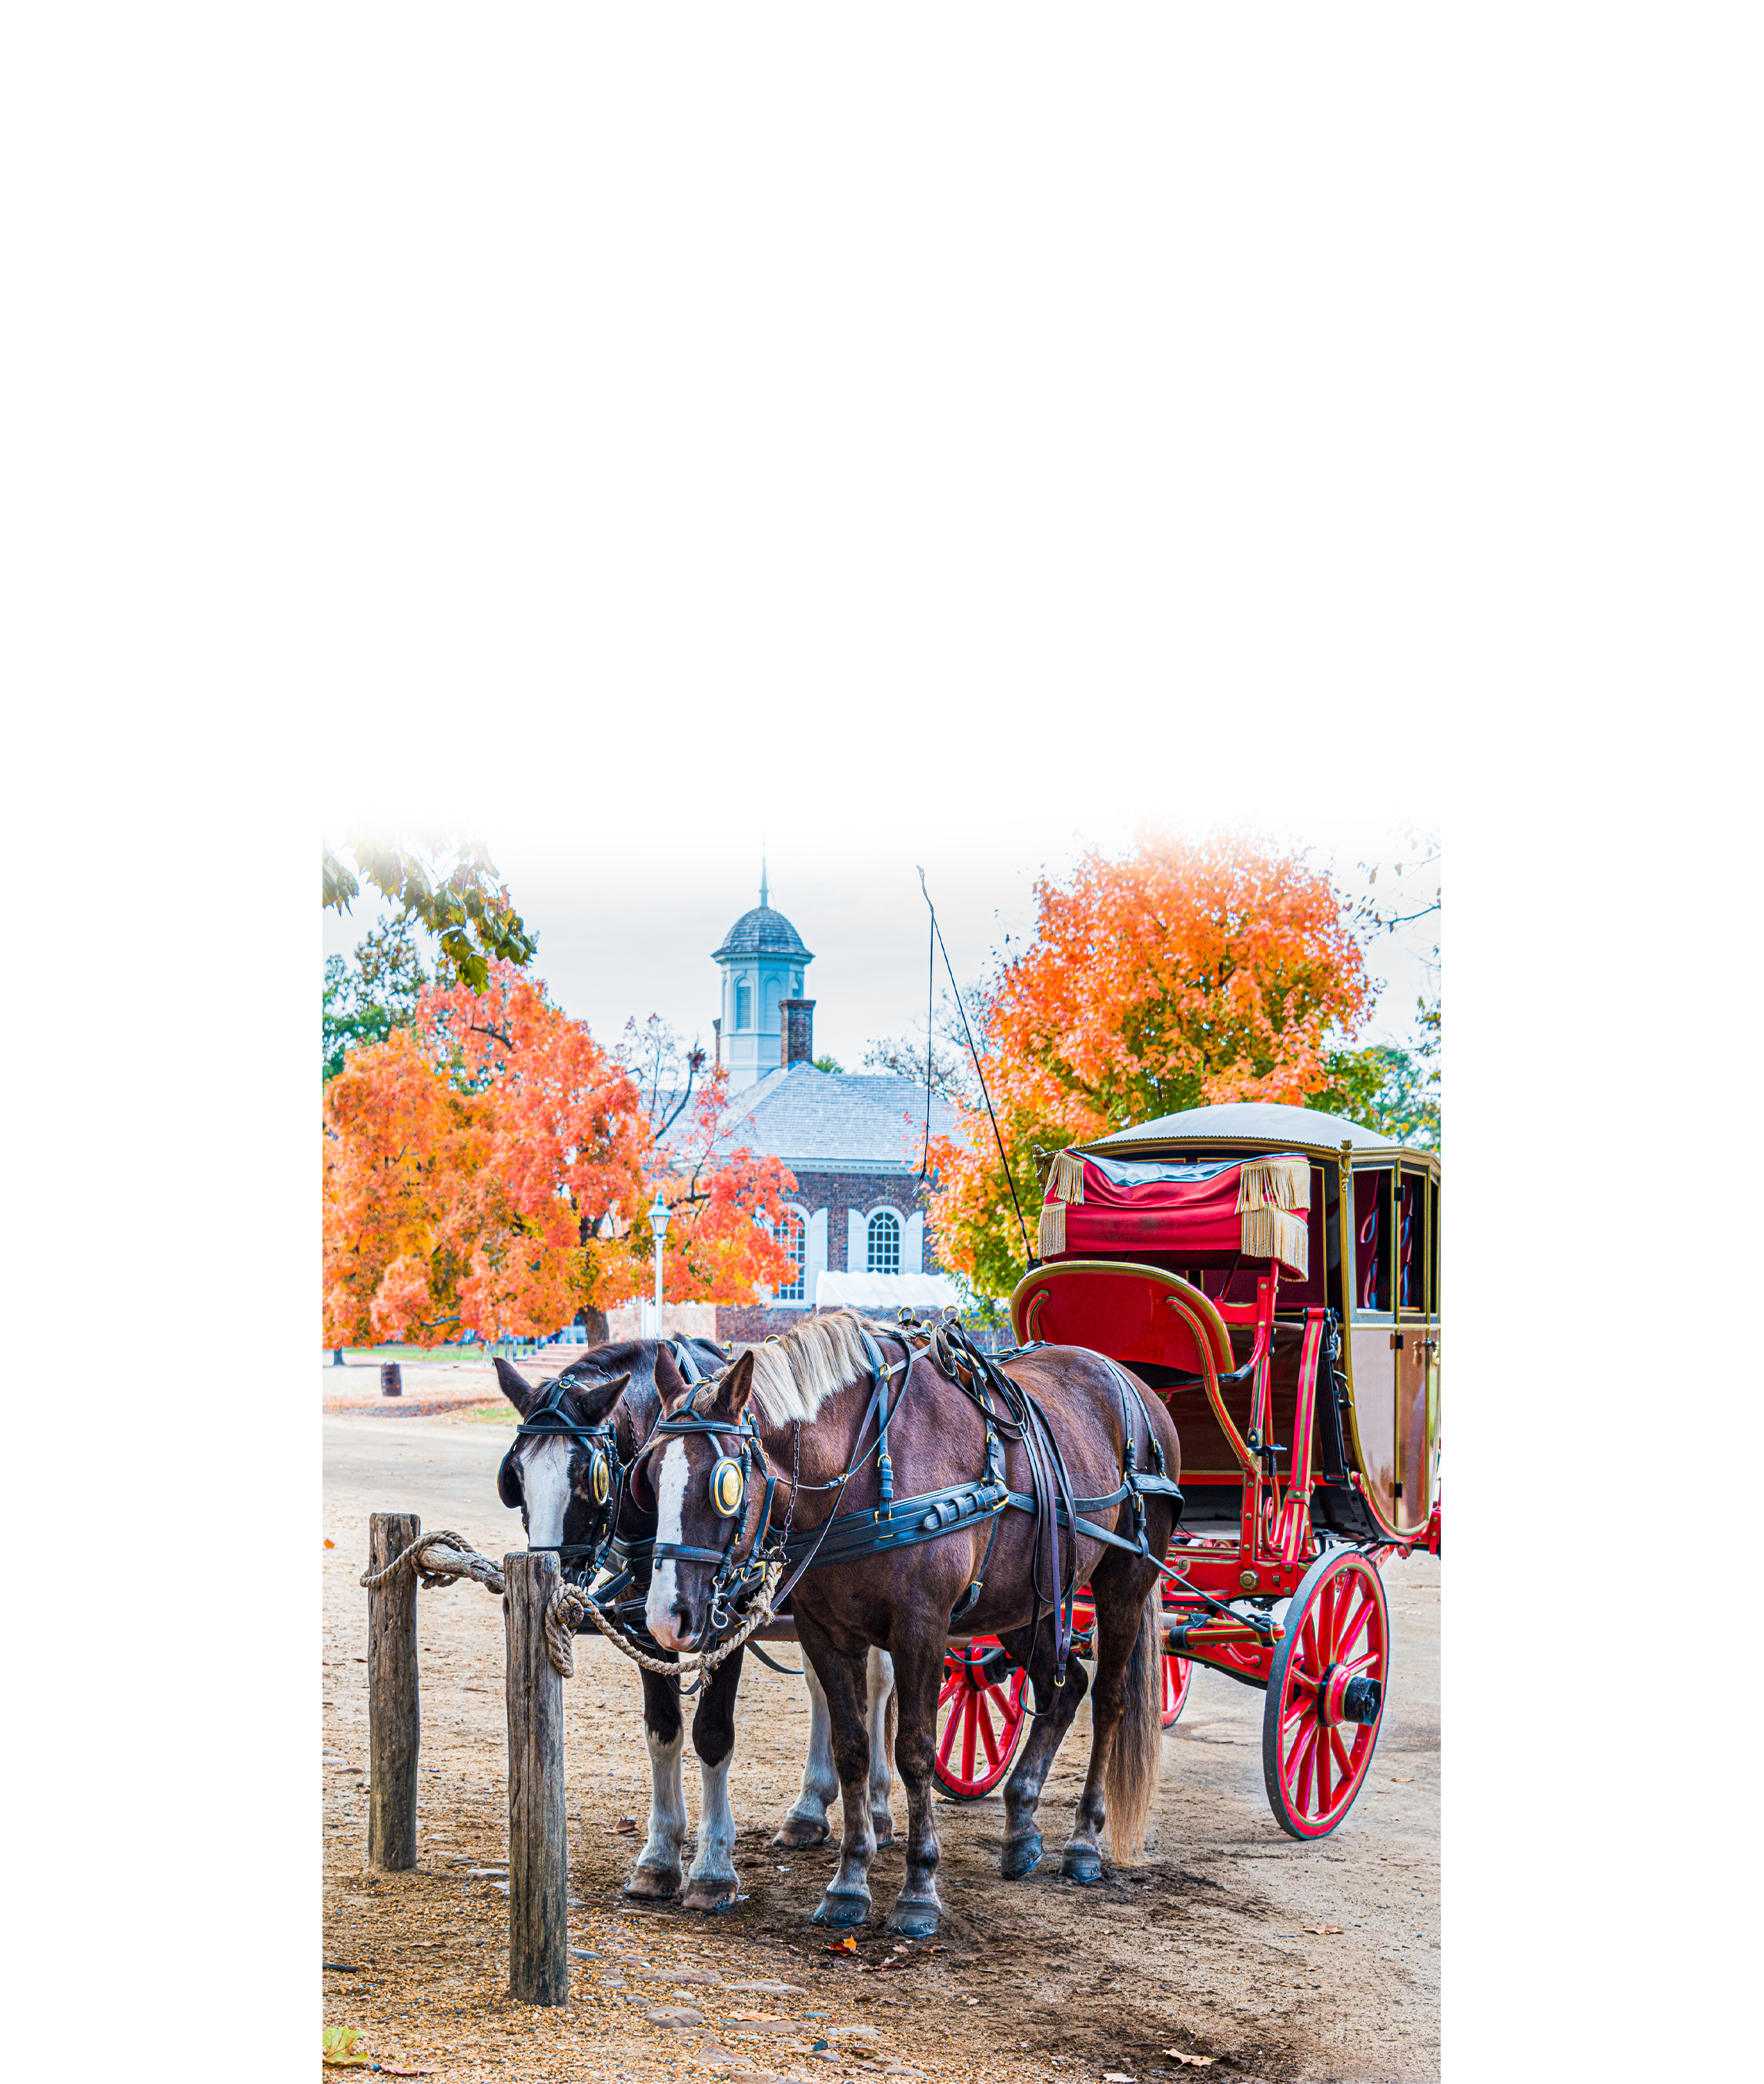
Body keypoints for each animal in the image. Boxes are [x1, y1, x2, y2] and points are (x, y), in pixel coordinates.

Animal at [630, 1317, 1184, 1934]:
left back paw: (1084, 1841)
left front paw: (918, 1889)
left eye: (723, 1484)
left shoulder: (921, 1629)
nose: (664, 1616)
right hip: (1029, 1599)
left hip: (1123, 1583)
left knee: (1108, 1699)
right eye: (647, 1477)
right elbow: (851, 1747)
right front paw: (849, 1882)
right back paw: (1020, 1826)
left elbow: (915, 1750)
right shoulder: (826, 1632)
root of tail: (1130, 1382)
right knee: (1063, 1692)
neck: (863, 1469)